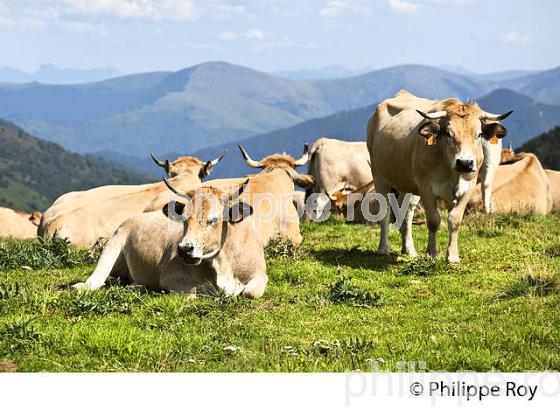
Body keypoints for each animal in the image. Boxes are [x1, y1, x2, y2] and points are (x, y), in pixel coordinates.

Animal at [71, 181, 266, 300]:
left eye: (214, 220)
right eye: (184, 218)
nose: (185, 249)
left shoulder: (260, 274)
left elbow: (250, 292)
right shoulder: (170, 277)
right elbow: (191, 294)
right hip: (113, 243)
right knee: (96, 279)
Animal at [368, 89, 512, 262]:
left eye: (478, 134)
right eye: (449, 133)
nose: (464, 163)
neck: (451, 170)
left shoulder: (467, 188)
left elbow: (455, 220)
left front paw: (452, 256)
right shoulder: (426, 188)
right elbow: (433, 220)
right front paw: (431, 253)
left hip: (408, 184)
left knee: (407, 214)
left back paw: (408, 249)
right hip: (378, 174)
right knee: (385, 212)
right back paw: (383, 248)